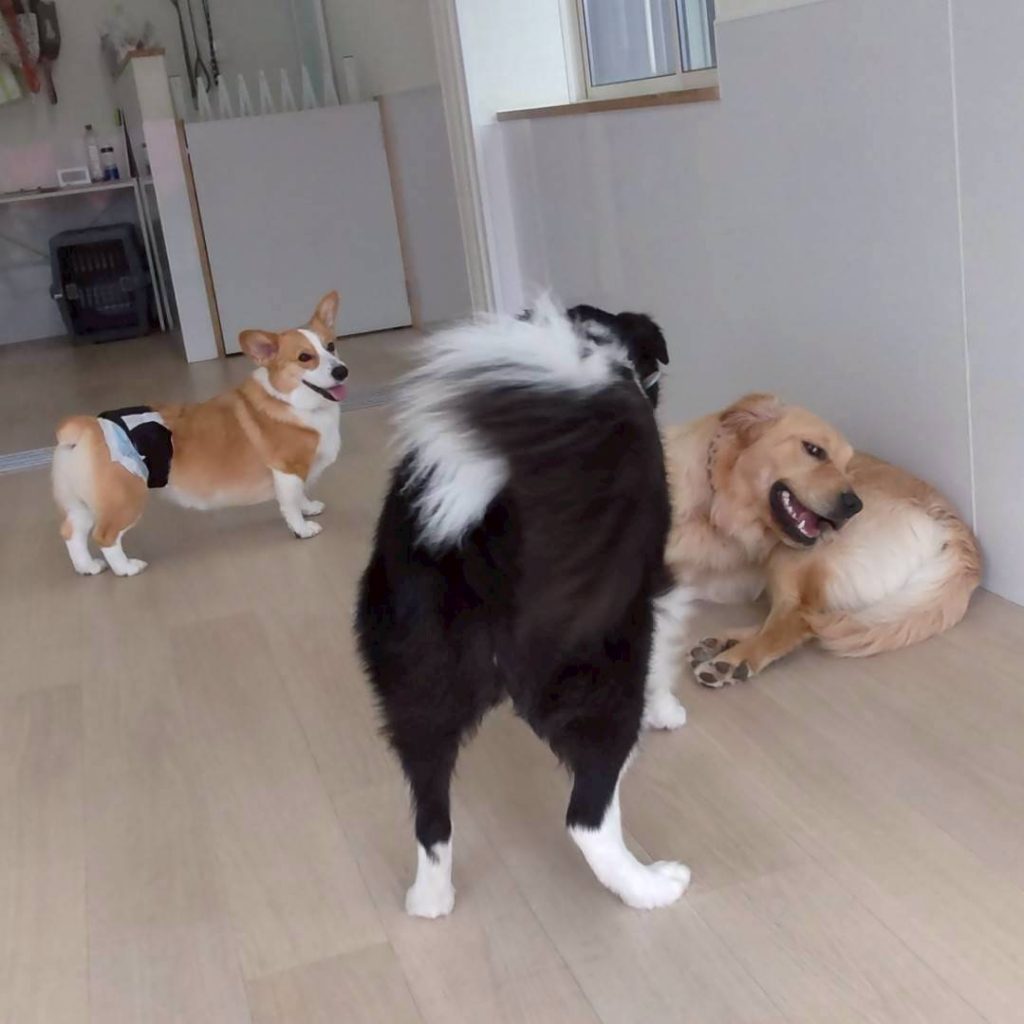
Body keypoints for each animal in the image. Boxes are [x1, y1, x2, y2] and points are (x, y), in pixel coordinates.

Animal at [52, 291, 347, 576]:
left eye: (330, 346)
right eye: (304, 358)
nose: (342, 371)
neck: (292, 402)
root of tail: (86, 426)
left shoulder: (298, 473)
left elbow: (301, 495)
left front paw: (310, 508)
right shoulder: (287, 471)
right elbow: (291, 504)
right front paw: (302, 528)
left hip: (82, 505)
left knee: (72, 533)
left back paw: (87, 567)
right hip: (125, 500)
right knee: (105, 536)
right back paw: (126, 568)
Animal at [354, 301, 687, 917]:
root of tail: (489, 516)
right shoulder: (653, 582)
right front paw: (668, 709)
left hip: (416, 685)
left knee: (431, 815)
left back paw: (429, 899)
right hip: (602, 667)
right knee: (587, 816)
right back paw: (650, 887)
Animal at [643, 393, 980, 696]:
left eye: (845, 465)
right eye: (814, 450)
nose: (854, 505)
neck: (713, 502)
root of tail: (953, 524)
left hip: (792, 556)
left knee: (799, 617)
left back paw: (734, 659)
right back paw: (723, 643)